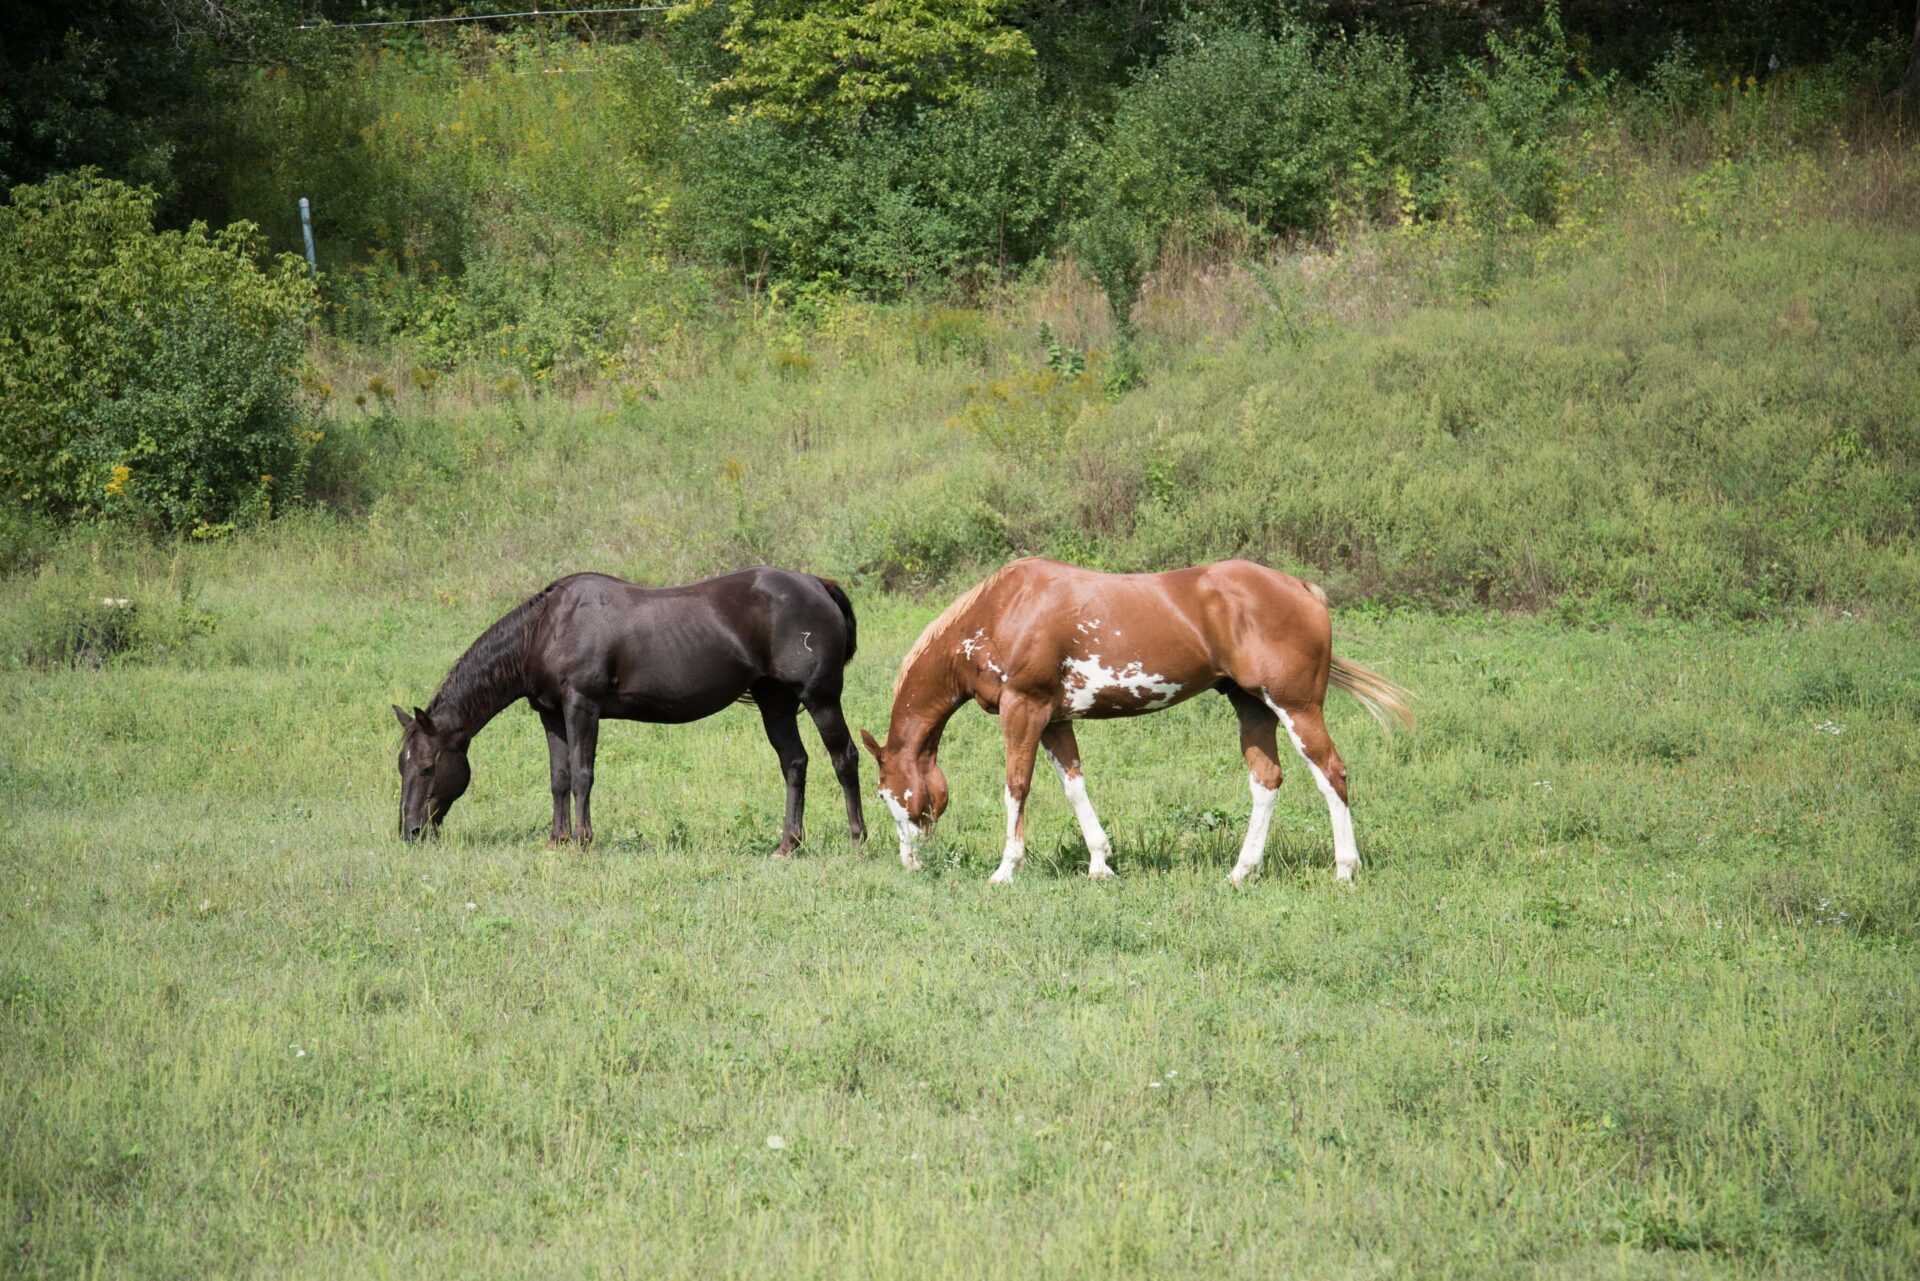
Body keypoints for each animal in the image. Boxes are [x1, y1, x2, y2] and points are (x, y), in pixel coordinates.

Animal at [393, 568, 867, 852]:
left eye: (428, 767)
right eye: (402, 765)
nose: (410, 831)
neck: (547, 628)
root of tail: (817, 584)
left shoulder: (582, 707)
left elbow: (582, 775)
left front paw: (582, 840)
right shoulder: (551, 714)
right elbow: (559, 778)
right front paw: (556, 840)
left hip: (821, 699)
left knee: (844, 759)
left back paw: (857, 839)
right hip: (775, 701)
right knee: (795, 764)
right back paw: (788, 845)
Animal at [856, 556, 1413, 887]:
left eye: (885, 794)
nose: (910, 861)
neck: (1003, 611)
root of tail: (1301, 587)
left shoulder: (1024, 709)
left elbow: (1016, 786)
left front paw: (1005, 870)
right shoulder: (1054, 719)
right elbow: (1074, 788)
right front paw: (1100, 864)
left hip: (1296, 708)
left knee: (1332, 774)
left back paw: (1345, 870)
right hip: (1252, 707)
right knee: (1266, 781)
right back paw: (1241, 871)